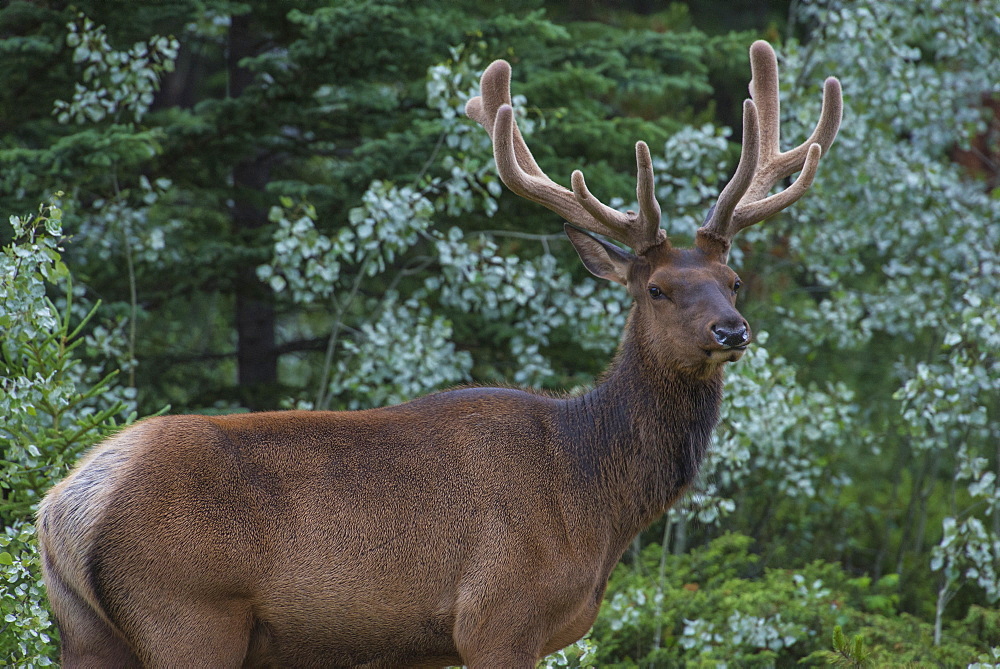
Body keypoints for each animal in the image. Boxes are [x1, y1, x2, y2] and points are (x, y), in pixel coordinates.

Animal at [37, 43, 836, 668]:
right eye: (659, 289)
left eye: (733, 281)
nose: (733, 331)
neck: (592, 497)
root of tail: (66, 505)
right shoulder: (498, 617)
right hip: (190, 614)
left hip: (88, 633)